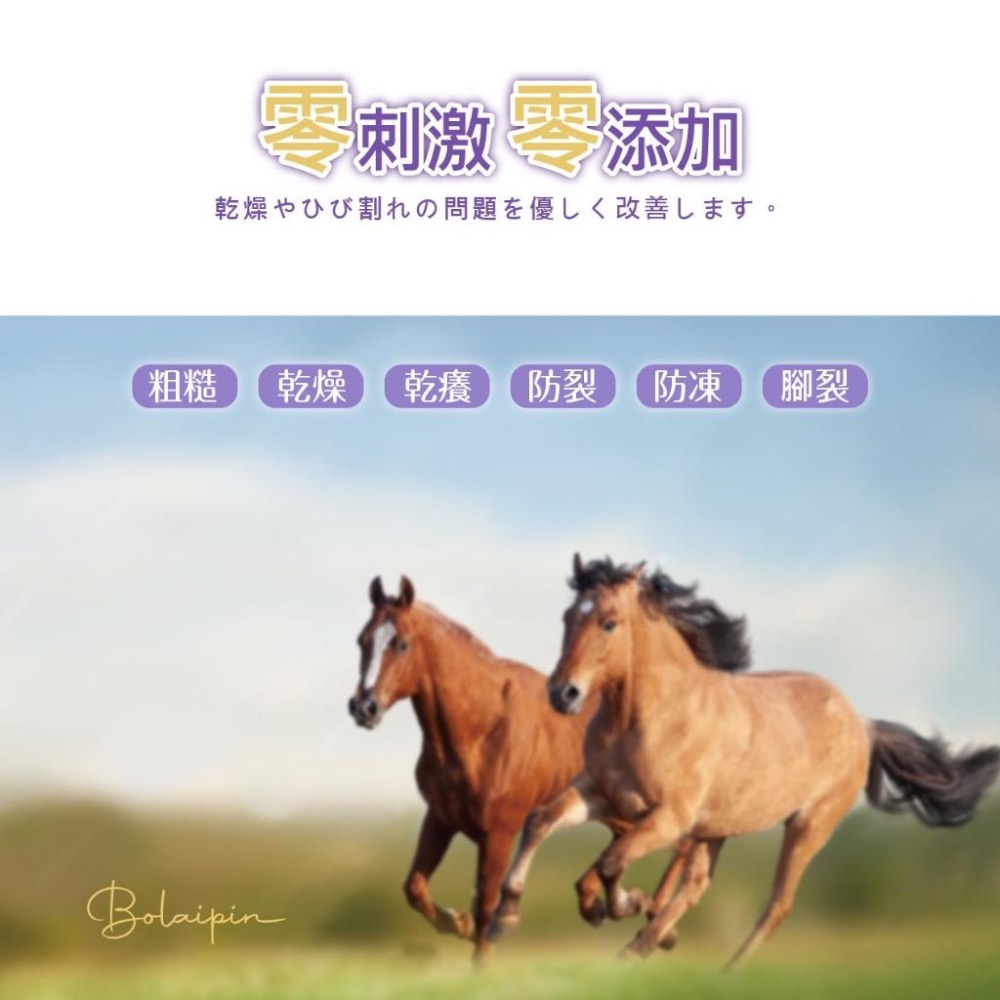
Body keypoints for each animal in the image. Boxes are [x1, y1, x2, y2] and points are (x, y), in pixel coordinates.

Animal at [348, 575, 597, 961]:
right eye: (363, 640)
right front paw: (459, 923)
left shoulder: (499, 833)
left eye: (401, 643)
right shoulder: (441, 818)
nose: (364, 707)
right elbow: (415, 887)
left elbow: (485, 906)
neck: (483, 731)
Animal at [498, 555, 1000, 967]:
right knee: (696, 887)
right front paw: (509, 916)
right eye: (568, 616)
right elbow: (543, 822)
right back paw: (641, 945)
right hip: (718, 828)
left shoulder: (669, 818)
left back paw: (719, 970)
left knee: (775, 905)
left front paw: (621, 903)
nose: (563, 694)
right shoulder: (601, 793)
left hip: (807, 827)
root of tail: (863, 726)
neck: (651, 715)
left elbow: (611, 861)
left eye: (609, 622)